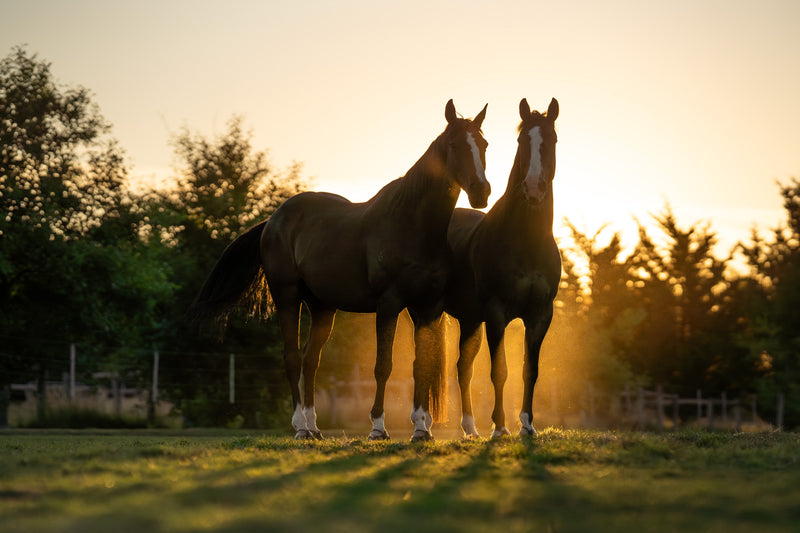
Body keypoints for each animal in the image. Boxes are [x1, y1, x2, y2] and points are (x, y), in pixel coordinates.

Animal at [188, 100, 490, 440]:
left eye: (483, 145)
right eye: (454, 144)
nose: (481, 192)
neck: (411, 224)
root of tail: (273, 220)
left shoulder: (427, 306)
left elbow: (421, 364)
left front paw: (421, 429)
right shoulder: (389, 304)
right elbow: (383, 365)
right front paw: (378, 427)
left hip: (322, 307)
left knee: (311, 360)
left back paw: (314, 426)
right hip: (287, 297)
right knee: (292, 358)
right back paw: (299, 427)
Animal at [444, 96, 564, 436]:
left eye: (552, 139)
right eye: (522, 140)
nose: (534, 189)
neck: (525, 241)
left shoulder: (540, 315)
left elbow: (530, 371)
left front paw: (527, 424)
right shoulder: (496, 313)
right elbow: (499, 370)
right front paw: (499, 427)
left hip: (470, 320)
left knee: (463, 367)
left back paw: (470, 428)